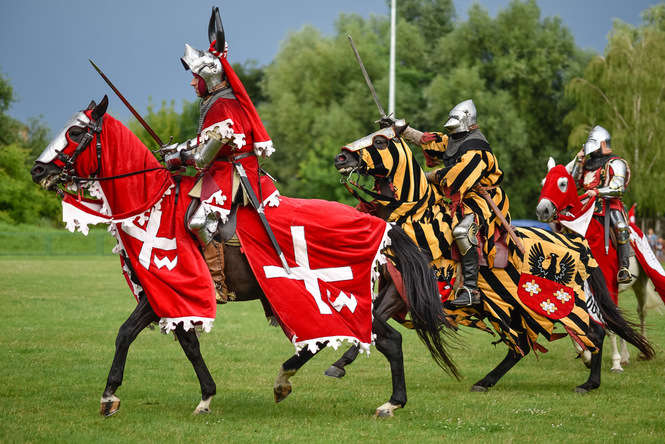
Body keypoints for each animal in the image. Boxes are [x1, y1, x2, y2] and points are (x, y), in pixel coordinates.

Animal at [30, 96, 458, 418]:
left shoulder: (165, 292)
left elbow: (125, 334)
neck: (152, 203)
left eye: (76, 132)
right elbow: (185, 343)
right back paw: (286, 380)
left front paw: (109, 396)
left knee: (387, 341)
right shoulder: (171, 299)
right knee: (329, 341)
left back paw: (390, 403)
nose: (37, 170)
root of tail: (382, 225)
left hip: (342, 298)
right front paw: (205, 396)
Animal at [536, 158, 665, 372]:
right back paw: (625, 356)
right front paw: (587, 355)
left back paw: (638, 354)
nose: (542, 210)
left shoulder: (607, 286)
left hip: (640, 283)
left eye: (562, 183)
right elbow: (571, 323)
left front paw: (615, 363)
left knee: (641, 312)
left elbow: (609, 324)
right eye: (543, 182)